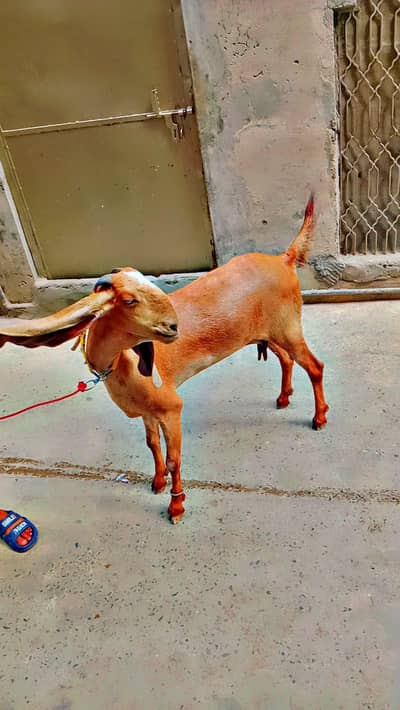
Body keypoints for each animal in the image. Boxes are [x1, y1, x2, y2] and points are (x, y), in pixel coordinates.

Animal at [0, 195, 328, 523]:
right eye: (129, 300)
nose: (173, 327)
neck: (122, 368)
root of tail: (283, 259)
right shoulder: (148, 412)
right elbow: (152, 445)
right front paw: (157, 483)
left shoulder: (171, 408)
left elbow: (173, 459)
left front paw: (176, 506)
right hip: (266, 332)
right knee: (286, 359)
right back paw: (284, 398)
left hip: (288, 327)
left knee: (314, 366)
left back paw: (319, 418)